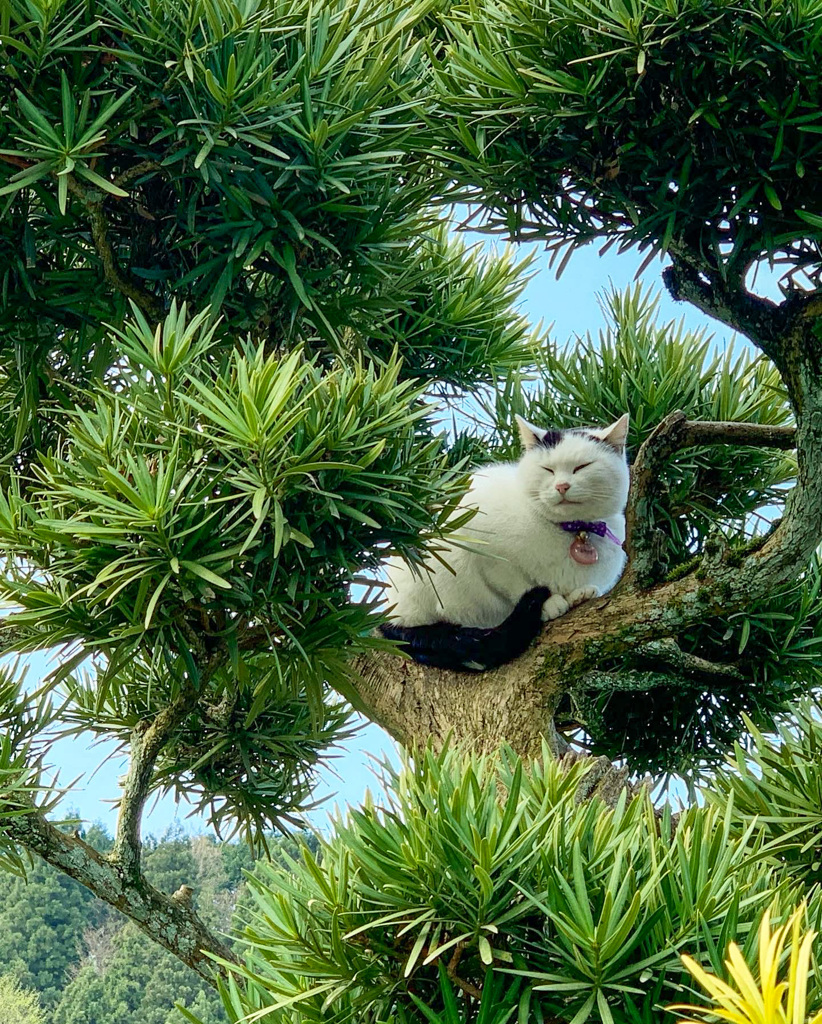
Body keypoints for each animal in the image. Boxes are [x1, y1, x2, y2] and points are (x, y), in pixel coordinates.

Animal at [380, 411, 630, 667]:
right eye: (547, 469)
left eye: (582, 467)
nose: (562, 486)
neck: (573, 530)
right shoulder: (490, 556)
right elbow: (518, 584)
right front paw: (550, 603)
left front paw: (579, 594)